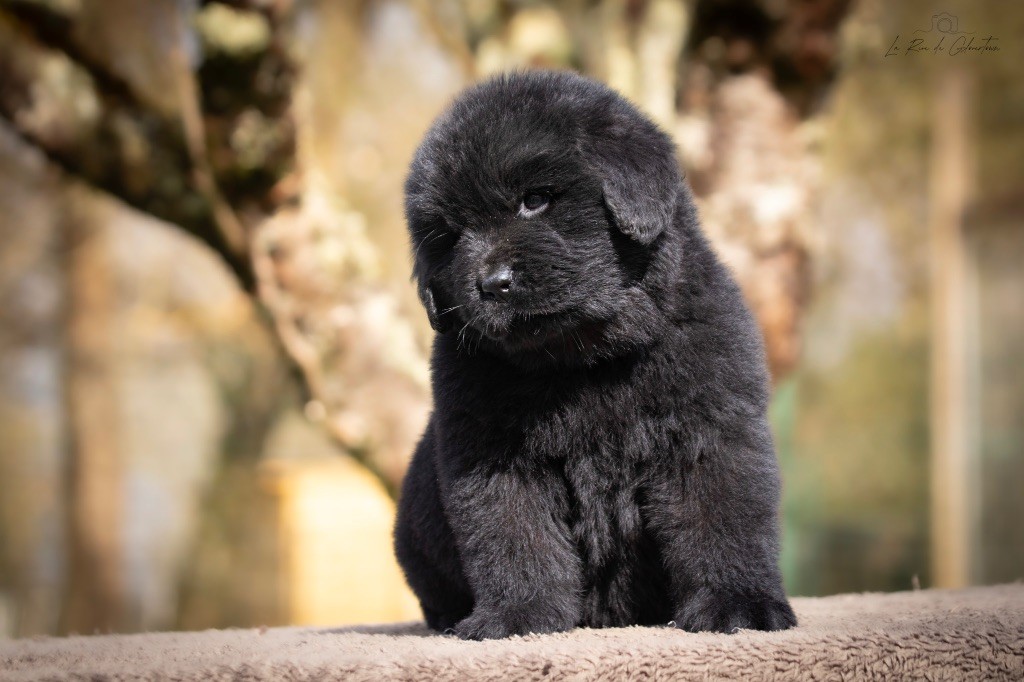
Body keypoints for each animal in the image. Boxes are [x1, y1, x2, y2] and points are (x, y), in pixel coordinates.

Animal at [393, 70, 798, 638]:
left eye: (535, 199)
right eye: (450, 236)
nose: (491, 284)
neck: (583, 360)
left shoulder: (709, 430)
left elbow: (721, 521)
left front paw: (738, 606)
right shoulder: (492, 455)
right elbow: (513, 538)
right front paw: (519, 616)